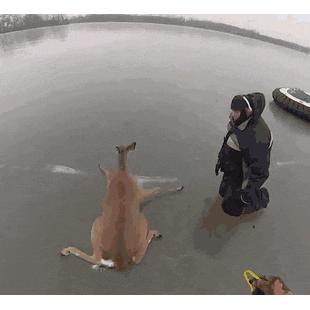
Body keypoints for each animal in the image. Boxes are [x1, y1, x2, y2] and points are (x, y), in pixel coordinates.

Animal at [60, 142, 184, 270]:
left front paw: (100, 166)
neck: (122, 173)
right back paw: (156, 233)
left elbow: (107, 172)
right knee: (130, 258)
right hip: (130, 222)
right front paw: (179, 187)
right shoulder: (141, 193)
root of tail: (118, 260)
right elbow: (157, 188)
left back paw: (65, 250)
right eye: (125, 147)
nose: (133, 143)